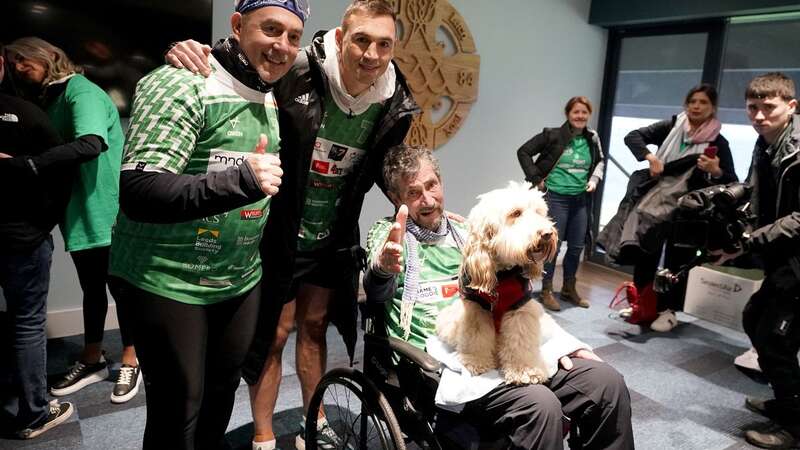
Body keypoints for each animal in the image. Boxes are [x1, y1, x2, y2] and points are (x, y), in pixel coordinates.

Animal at [438, 179, 556, 384]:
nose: (548, 233)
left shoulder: (520, 310)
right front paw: (475, 361)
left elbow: (521, 342)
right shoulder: (477, 309)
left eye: (539, 212)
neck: (503, 275)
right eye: (516, 213)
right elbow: (476, 338)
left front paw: (525, 370)